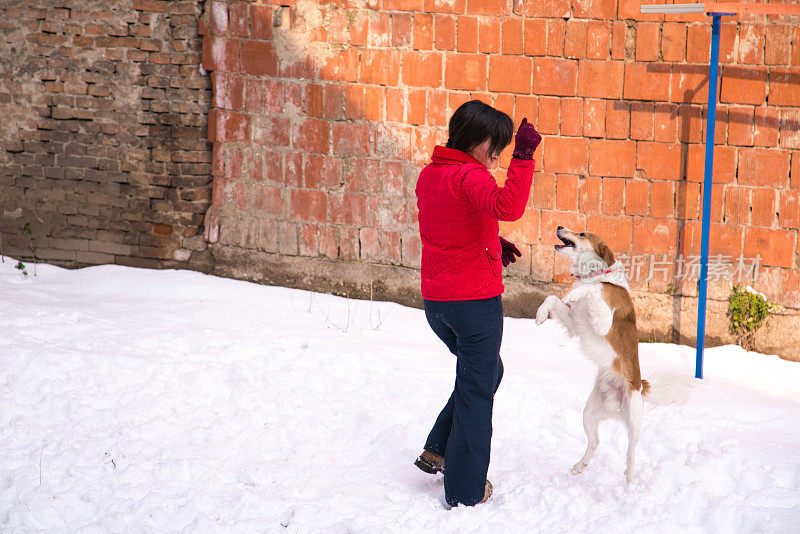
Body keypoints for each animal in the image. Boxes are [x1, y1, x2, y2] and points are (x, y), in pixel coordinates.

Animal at [536, 226, 692, 486]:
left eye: (582, 233)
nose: (559, 227)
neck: (597, 273)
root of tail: (639, 386)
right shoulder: (575, 325)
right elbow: (553, 299)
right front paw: (540, 313)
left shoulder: (602, 321)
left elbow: (592, 290)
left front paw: (577, 292)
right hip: (589, 413)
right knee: (594, 442)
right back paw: (580, 465)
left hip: (634, 421)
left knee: (631, 453)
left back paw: (629, 481)